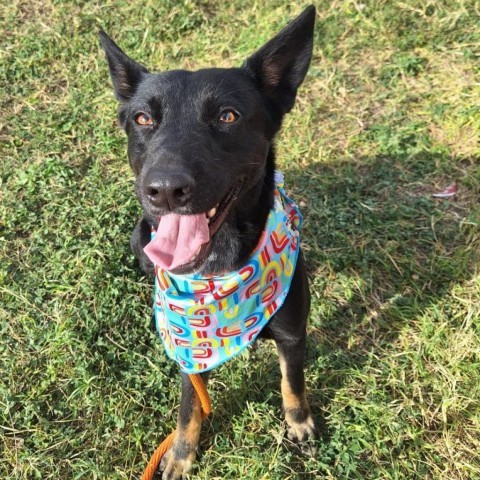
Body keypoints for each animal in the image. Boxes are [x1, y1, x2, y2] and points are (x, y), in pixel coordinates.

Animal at [100, 5, 318, 478]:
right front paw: (182, 454)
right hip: (141, 239)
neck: (223, 268)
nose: (165, 190)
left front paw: (300, 421)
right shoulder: (190, 348)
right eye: (143, 118)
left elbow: (292, 381)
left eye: (227, 116)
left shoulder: (293, 334)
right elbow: (189, 406)